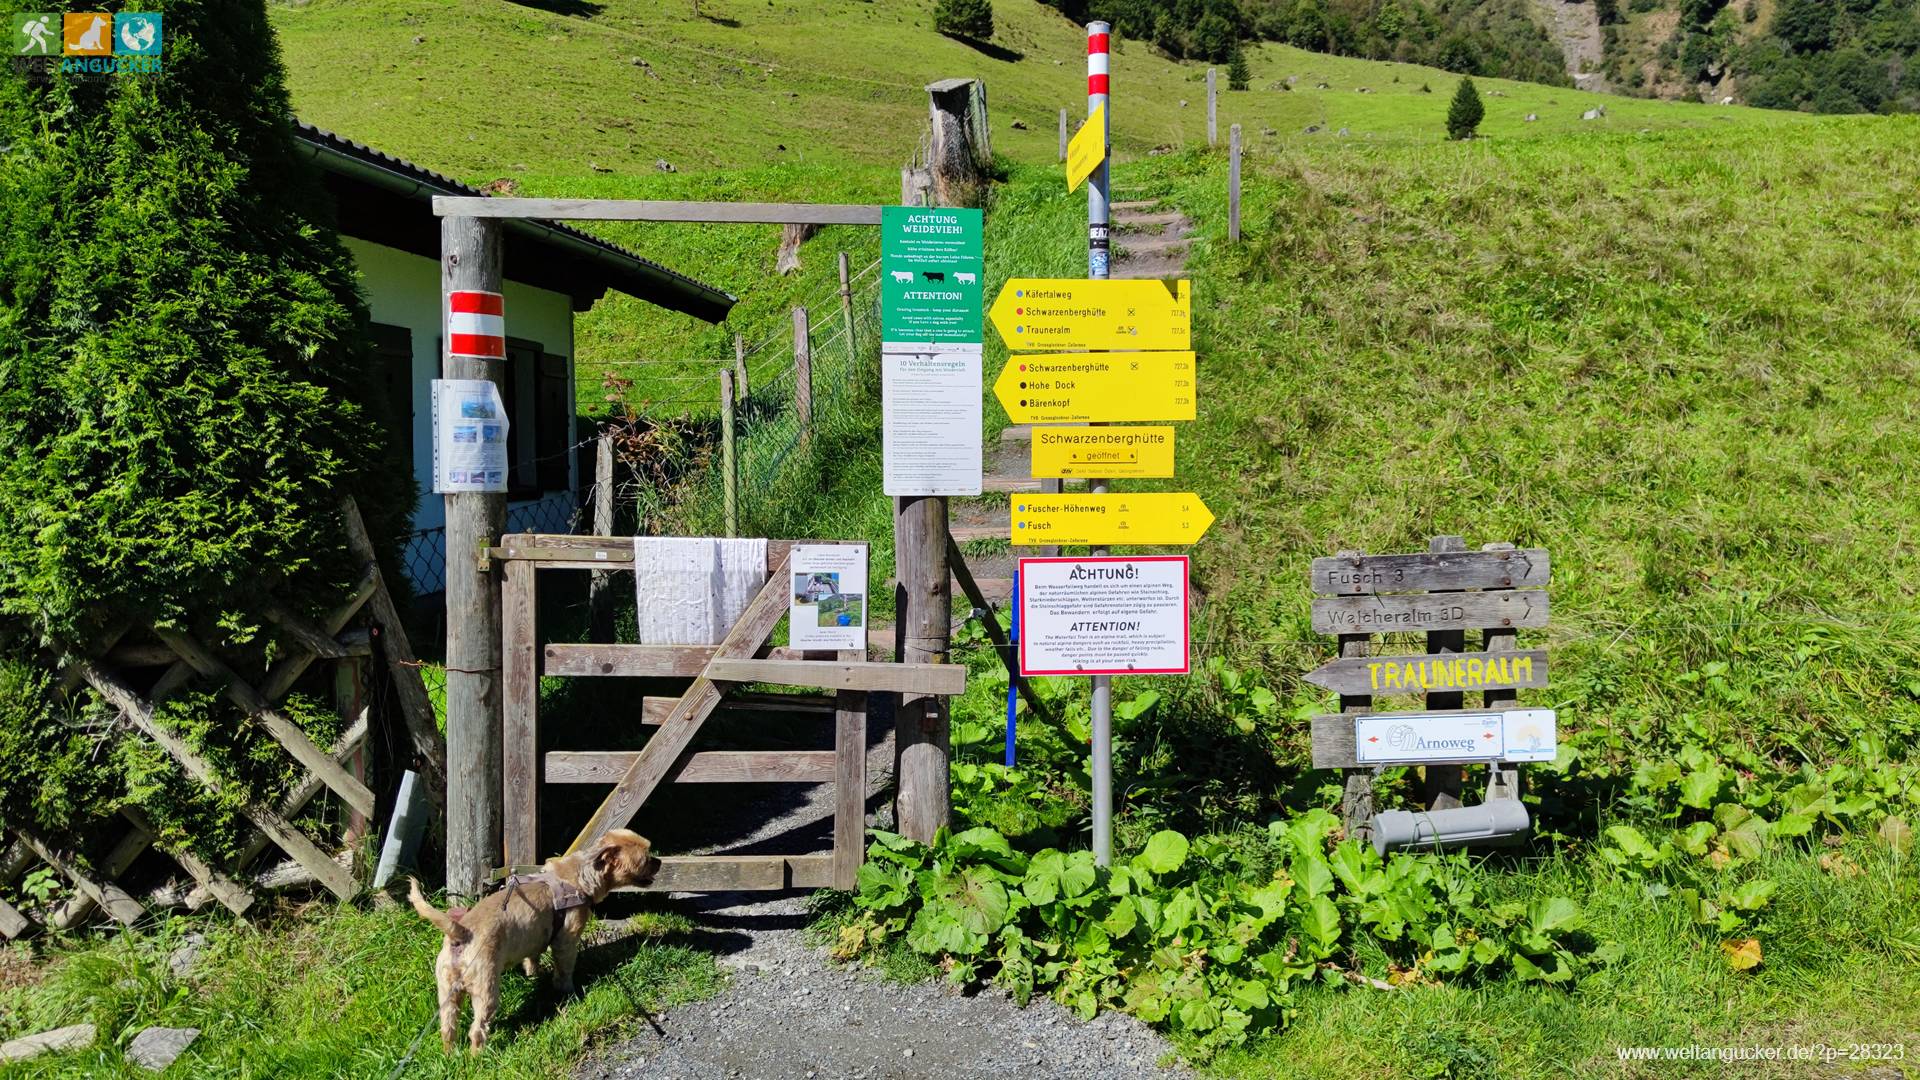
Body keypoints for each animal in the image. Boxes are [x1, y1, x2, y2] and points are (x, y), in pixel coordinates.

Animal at [408, 826, 664, 1045]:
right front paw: (567, 991)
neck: (581, 876)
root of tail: (461, 932)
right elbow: (564, 970)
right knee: (477, 1029)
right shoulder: (566, 940)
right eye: (645, 859)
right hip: (486, 988)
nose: (660, 861)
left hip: (446, 991)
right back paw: (477, 1056)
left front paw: (533, 975)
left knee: (447, 1027)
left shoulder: (534, 939)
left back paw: (451, 1054)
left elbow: (532, 959)